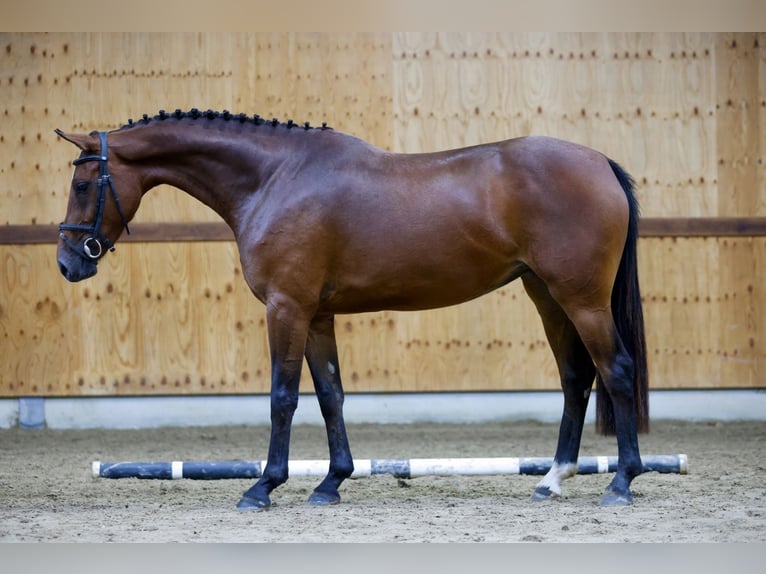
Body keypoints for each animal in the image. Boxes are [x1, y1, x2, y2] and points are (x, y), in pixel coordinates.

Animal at [57, 108, 652, 508]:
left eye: (83, 183)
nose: (68, 263)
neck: (274, 178)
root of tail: (600, 163)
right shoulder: (317, 315)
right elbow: (330, 395)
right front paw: (331, 482)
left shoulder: (286, 309)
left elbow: (282, 397)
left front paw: (263, 486)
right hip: (547, 295)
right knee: (576, 377)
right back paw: (552, 479)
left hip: (581, 300)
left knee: (616, 371)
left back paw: (622, 480)